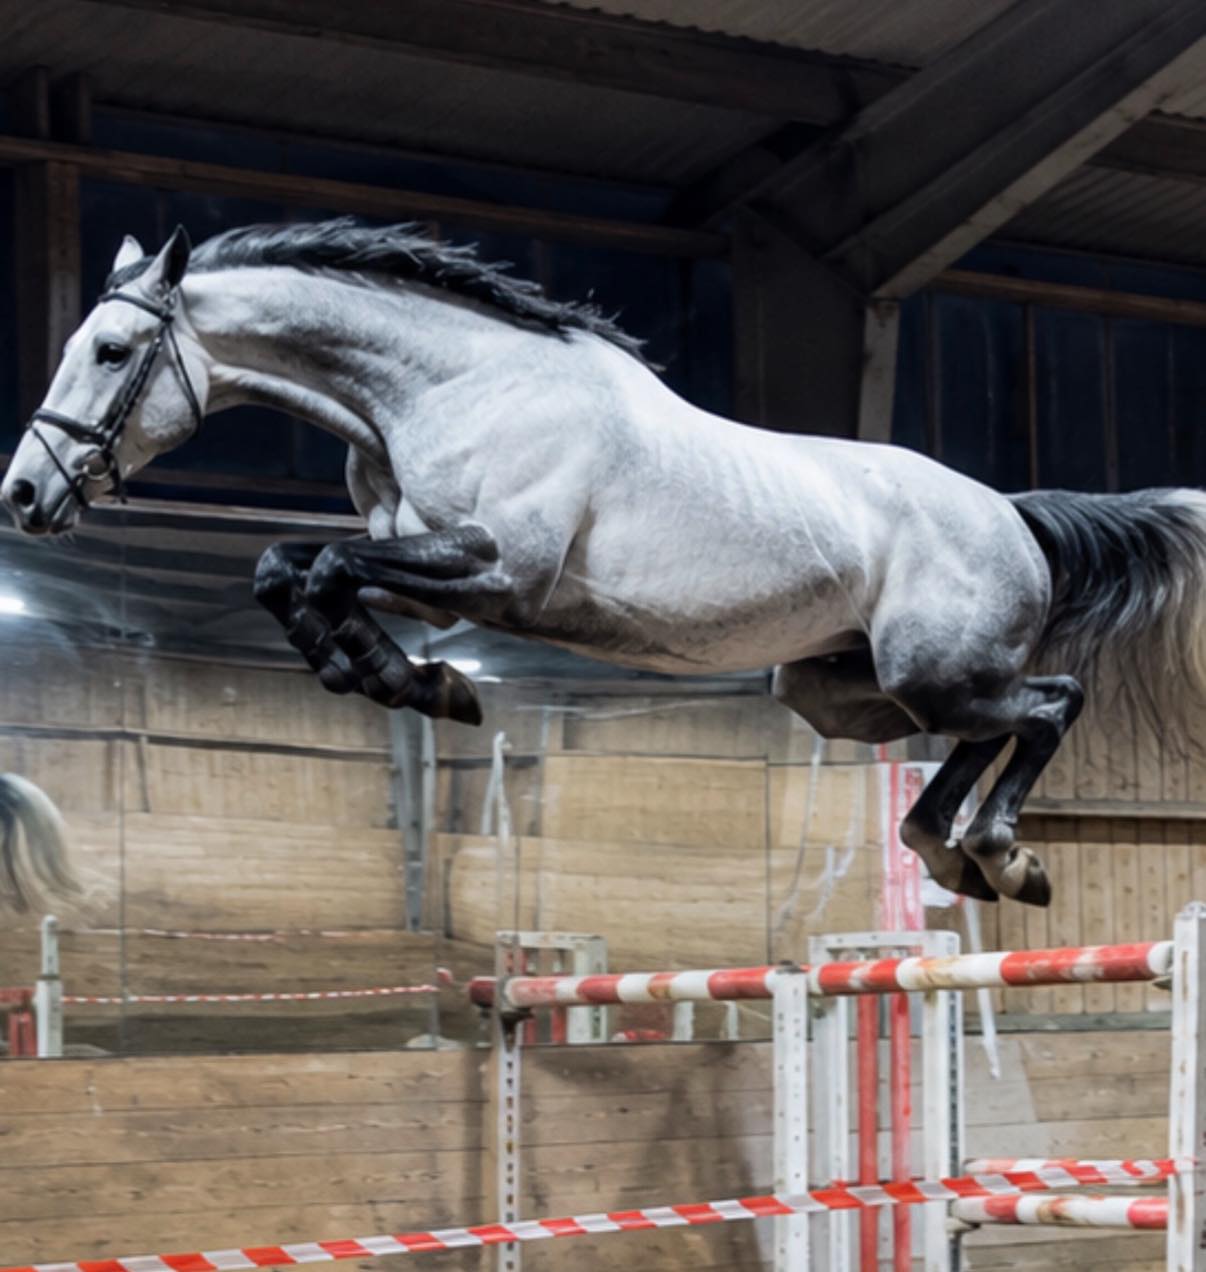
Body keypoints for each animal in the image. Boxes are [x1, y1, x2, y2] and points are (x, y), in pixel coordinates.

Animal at [4, 218, 1205, 908]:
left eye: (111, 350)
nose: (23, 495)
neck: (446, 386)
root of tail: (1013, 513)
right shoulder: (431, 561)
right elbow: (288, 568)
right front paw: (404, 680)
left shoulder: (500, 575)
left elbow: (329, 568)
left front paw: (413, 682)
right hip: (843, 691)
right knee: (985, 730)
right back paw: (953, 852)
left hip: (931, 669)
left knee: (1048, 703)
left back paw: (1002, 854)